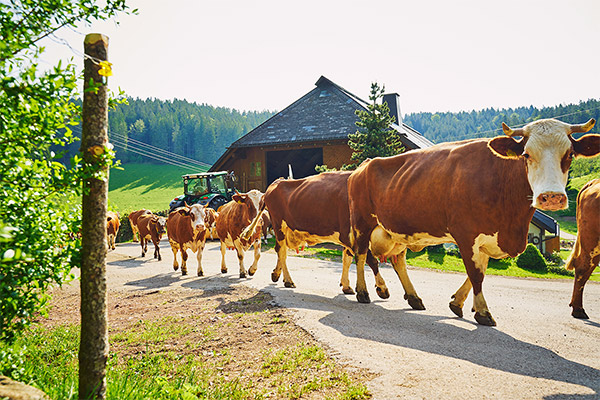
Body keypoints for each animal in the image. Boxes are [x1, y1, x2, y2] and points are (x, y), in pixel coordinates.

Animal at [241, 172, 392, 300]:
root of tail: (277, 181)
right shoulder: (355, 236)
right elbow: (371, 260)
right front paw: (382, 288)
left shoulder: (349, 237)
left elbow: (347, 259)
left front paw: (346, 285)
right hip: (279, 225)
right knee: (282, 252)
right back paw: (288, 280)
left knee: (279, 249)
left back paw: (276, 274)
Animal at [346, 118, 600, 324]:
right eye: (526, 155)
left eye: (570, 155)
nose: (551, 197)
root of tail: (363, 165)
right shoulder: (466, 234)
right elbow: (476, 273)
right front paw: (483, 312)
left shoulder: (487, 238)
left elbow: (480, 271)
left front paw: (457, 303)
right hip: (362, 224)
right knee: (361, 255)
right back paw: (363, 292)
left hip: (397, 231)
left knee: (398, 260)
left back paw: (413, 297)